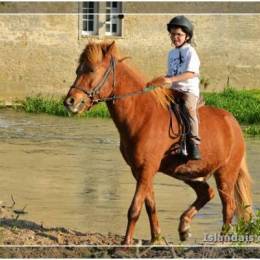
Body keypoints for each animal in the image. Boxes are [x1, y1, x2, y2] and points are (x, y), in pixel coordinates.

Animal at [64, 41, 253, 245]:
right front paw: (157, 238)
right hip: (190, 173)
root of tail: (233, 123)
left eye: (91, 70)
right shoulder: (140, 171)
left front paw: (126, 243)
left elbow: (135, 208)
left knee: (229, 206)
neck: (142, 114)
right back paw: (184, 226)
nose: (70, 101)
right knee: (206, 193)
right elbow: (150, 205)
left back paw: (221, 239)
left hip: (226, 174)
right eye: (78, 70)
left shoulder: (147, 169)